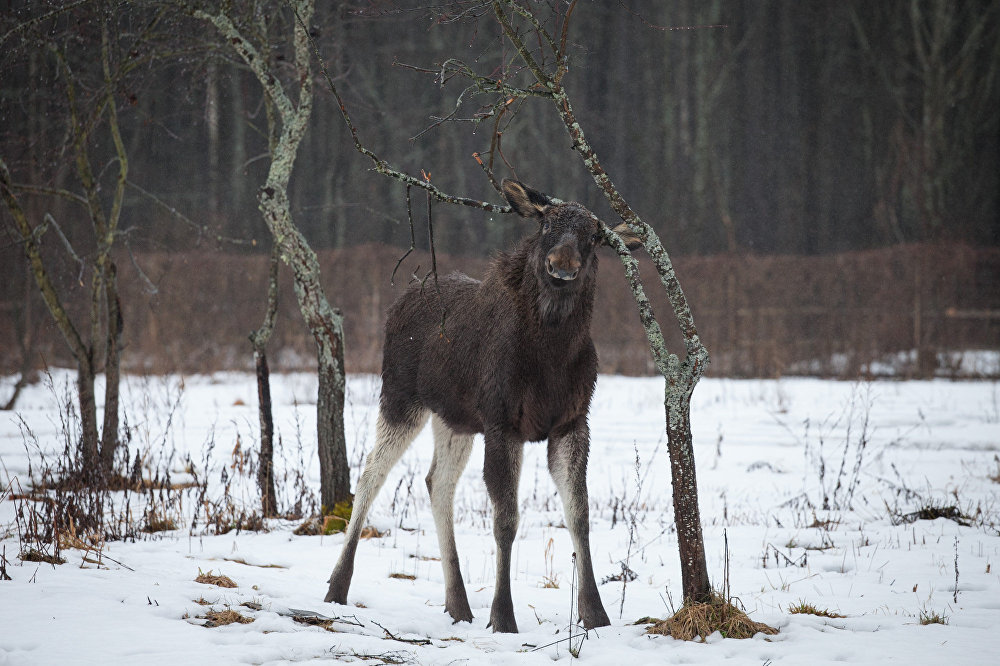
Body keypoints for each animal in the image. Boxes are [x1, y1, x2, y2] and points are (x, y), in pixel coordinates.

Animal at [328, 179, 640, 632]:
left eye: (594, 235)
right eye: (546, 222)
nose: (562, 263)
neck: (553, 354)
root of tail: (405, 294)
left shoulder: (572, 422)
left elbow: (579, 514)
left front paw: (595, 614)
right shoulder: (502, 422)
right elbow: (506, 520)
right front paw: (503, 615)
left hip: (454, 419)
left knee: (437, 482)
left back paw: (457, 604)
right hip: (401, 397)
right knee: (371, 475)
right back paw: (337, 586)